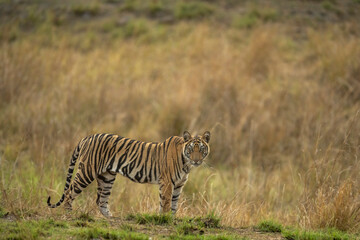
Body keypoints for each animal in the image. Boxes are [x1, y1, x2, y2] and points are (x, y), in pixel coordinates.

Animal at [47, 131, 211, 218]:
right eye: (191, 149)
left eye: (201, 149)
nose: (196, 160)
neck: (186, 164)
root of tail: (87, 137)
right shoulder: (167, 182)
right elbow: (165, 202)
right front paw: (165, 218)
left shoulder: (178, 185)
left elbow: (174, 203)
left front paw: (171, 218)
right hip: (87, 172)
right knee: (69, 192)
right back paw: (68, 214)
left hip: (107, 177)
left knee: (101, 200)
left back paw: (110, 218)